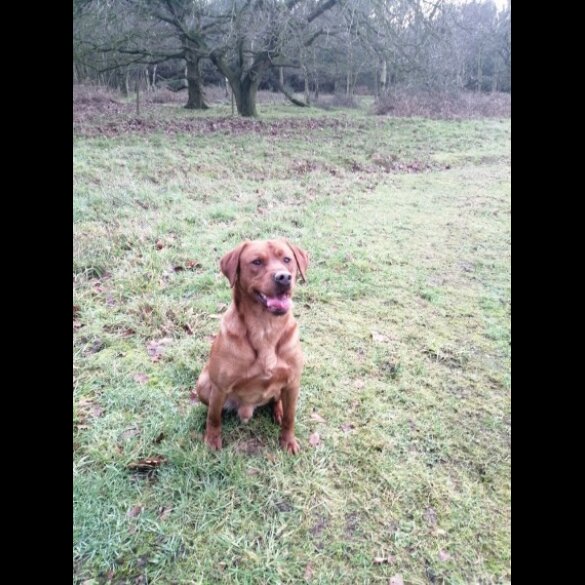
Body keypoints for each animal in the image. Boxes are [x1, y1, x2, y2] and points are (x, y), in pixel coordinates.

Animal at [194, 237, 308, 452]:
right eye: (257, 262)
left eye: (287, 259)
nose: (284, 277)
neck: (265, 328)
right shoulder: (220, 386)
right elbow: (213, 418)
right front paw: (211, 441)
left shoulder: (293, 383)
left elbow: (290, 418)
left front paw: (288, 441)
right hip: (203, 385)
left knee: (277, 401)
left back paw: (278, 411)